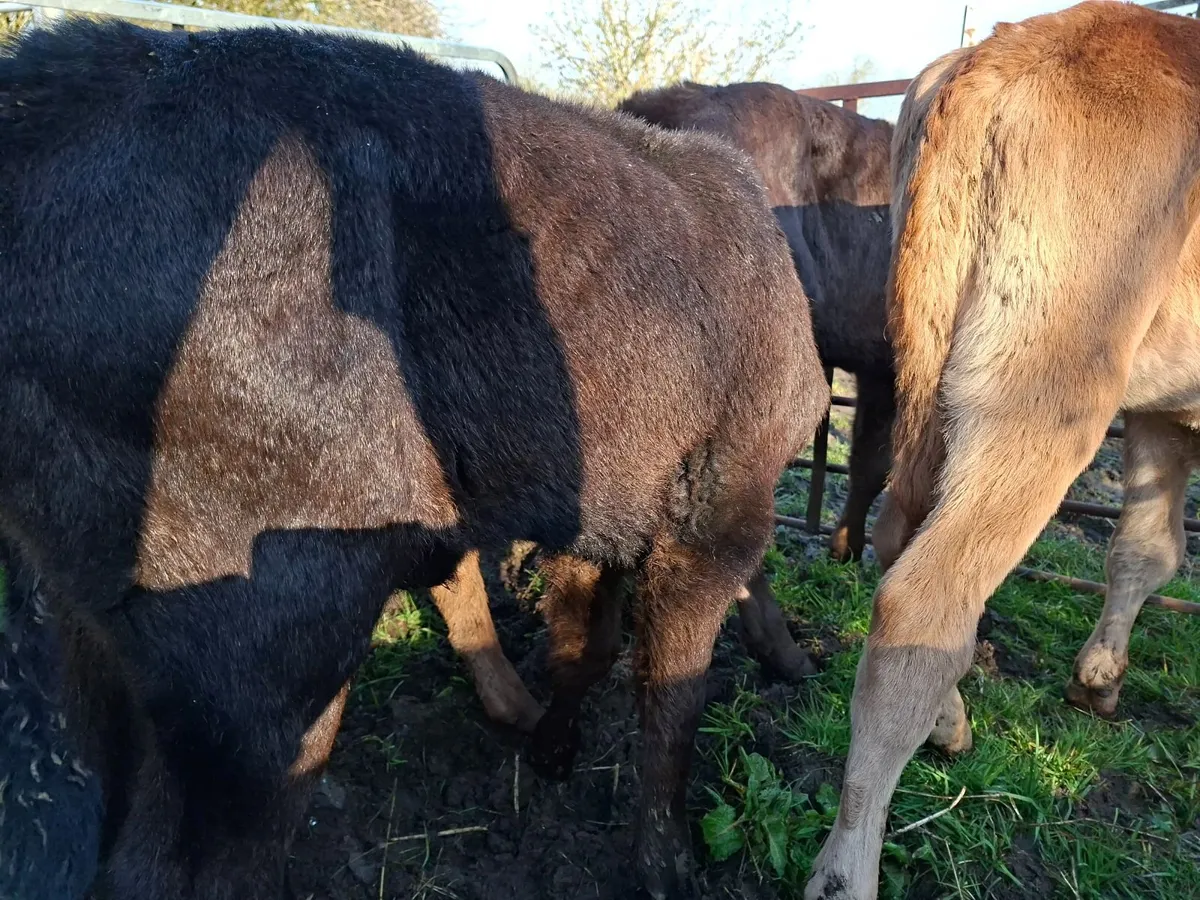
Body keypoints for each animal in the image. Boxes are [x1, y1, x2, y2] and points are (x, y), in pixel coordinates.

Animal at [0, 17, 828, 900]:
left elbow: (586, 643)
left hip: (90, 621)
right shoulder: (717, 503)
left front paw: (553, 750)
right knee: (183, 862)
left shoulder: (596, 507)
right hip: (268, 625)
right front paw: (669, 867)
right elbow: (673, 691)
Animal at [804, 3, 1200, 898]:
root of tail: (1007, 49)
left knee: (901, 537)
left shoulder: (1163, 416)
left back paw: (950, 722)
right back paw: (848, 865)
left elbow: (1144, 547)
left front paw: (1099, 680)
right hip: (1043, 391)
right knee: (922, 602)